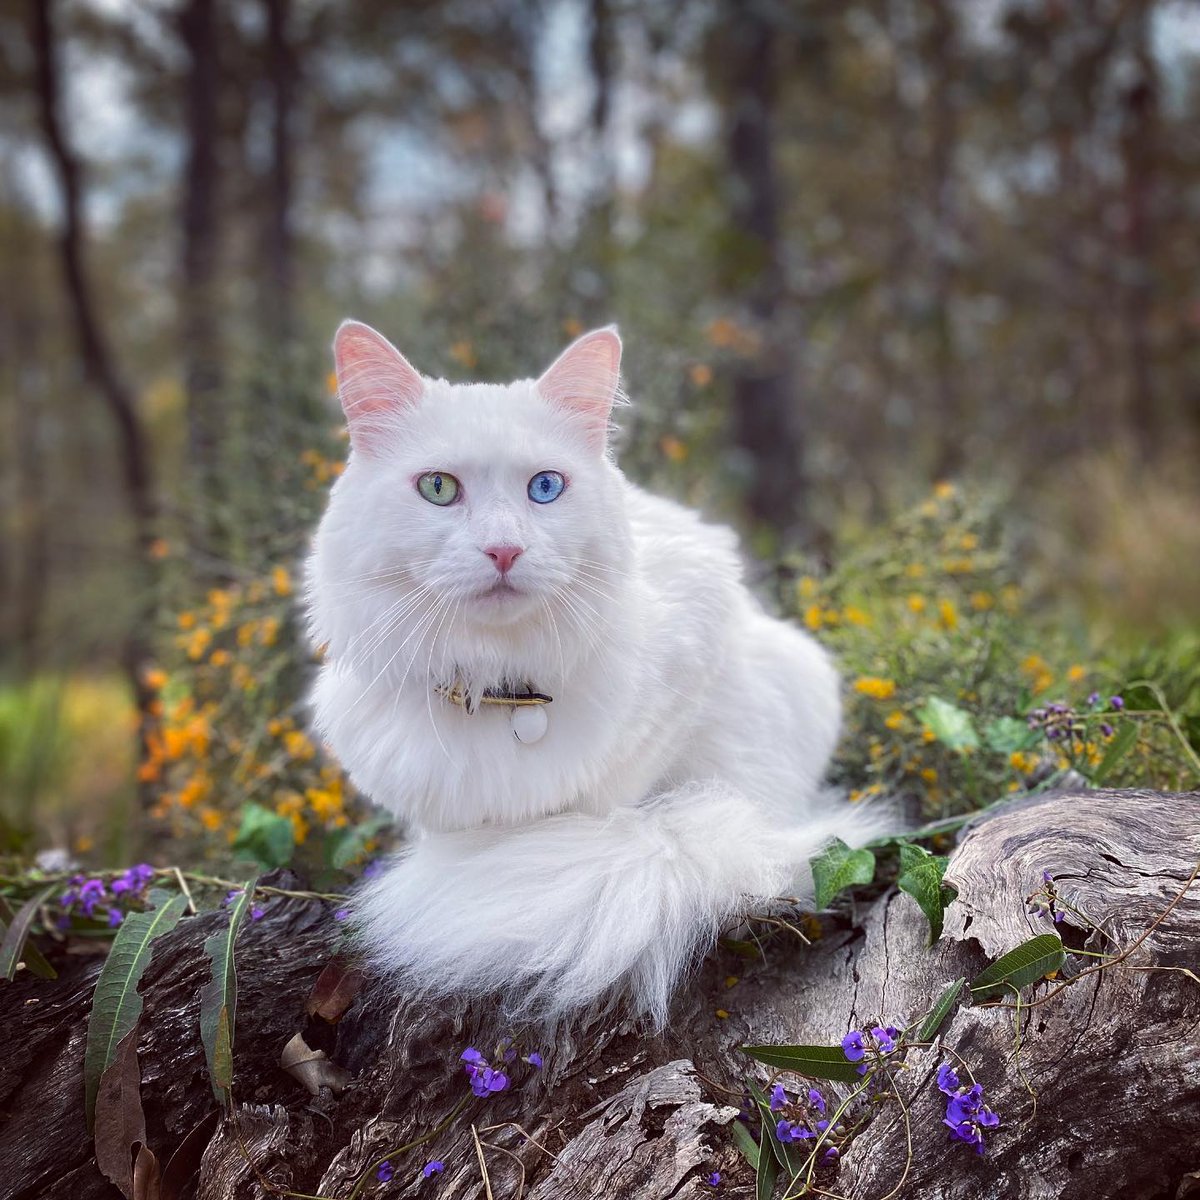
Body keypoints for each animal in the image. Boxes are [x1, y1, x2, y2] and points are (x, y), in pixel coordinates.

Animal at [304, 324, 878, 1027]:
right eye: (438, 488)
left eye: (545, 488)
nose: (504, 550)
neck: (500, 688)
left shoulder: (687, 664)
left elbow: (597, 811)